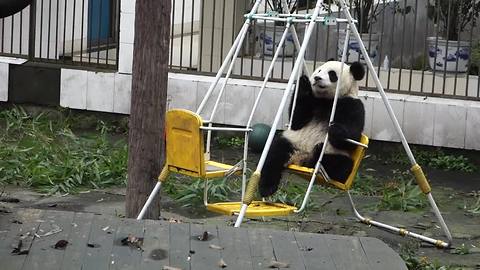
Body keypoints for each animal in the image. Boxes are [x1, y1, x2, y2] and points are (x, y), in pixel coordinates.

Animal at [260, 60, 366, 197]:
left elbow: (353, 139)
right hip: (292, 142)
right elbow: (296, 121)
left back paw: (316, 154)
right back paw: (267, 188)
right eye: (319, 70)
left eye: (332, 74)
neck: (327, 100)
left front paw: (335, 130)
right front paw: (304, 82)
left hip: (333, 153)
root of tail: (300, 157)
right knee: (274, 154)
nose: (317, 78)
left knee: (341, 165)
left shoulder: (352, 105)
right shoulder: (312, 101)